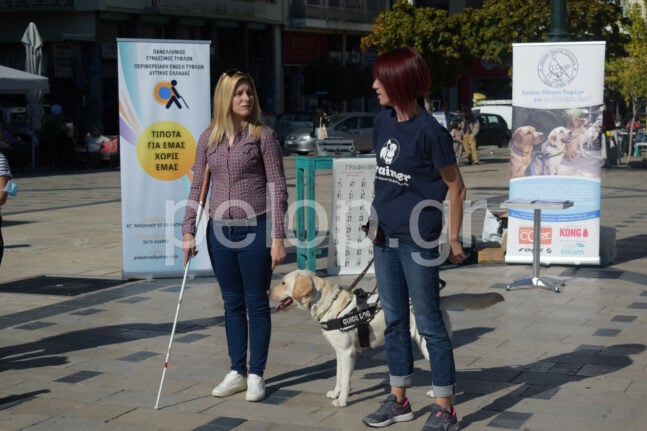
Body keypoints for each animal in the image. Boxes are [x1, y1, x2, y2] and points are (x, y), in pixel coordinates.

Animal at [270, 270, 506, 408]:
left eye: (282, 283)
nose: (266, 290)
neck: (331, 304)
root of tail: (439, 301)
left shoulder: (348, 353)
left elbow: (345, 380)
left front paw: (343, 400)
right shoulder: (340, 352)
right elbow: (339, 376)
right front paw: (335, 393)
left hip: (427, 345)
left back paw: (448, 398)